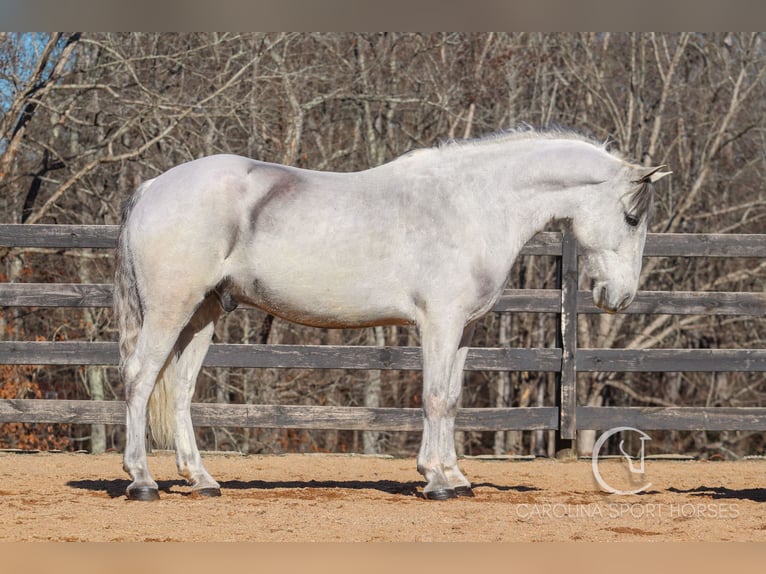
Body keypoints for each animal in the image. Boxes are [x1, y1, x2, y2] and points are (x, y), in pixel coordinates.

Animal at [115, 128, 672, 502]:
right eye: (631, 217)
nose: (619, 297)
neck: (472, 204)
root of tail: (152, 187)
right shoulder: (438, 323)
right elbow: (434, 397)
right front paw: (435, 480)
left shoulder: (464, 329)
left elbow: (452, 400)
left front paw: (457, 478)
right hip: (170, 310)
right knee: (140, 378)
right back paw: (142, 481)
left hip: (202, 314)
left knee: (181, 391)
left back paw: (202, 480)